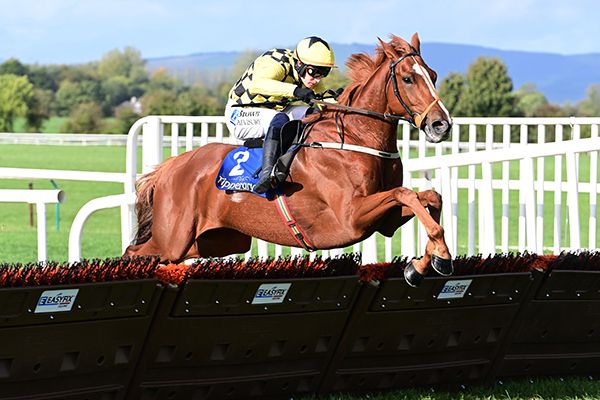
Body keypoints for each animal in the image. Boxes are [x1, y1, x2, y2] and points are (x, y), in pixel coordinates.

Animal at [127, 32, 454, 286]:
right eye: (408, 78)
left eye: (433, 75)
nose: (442, 125)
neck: (356, 138)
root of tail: (170, 167)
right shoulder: (351, 218)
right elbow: (405, 193)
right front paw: (439, 256)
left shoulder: (384, 221)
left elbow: (429, 197)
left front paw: (424, 264)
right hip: (173, 238)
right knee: (135, 253)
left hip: (216, 240)